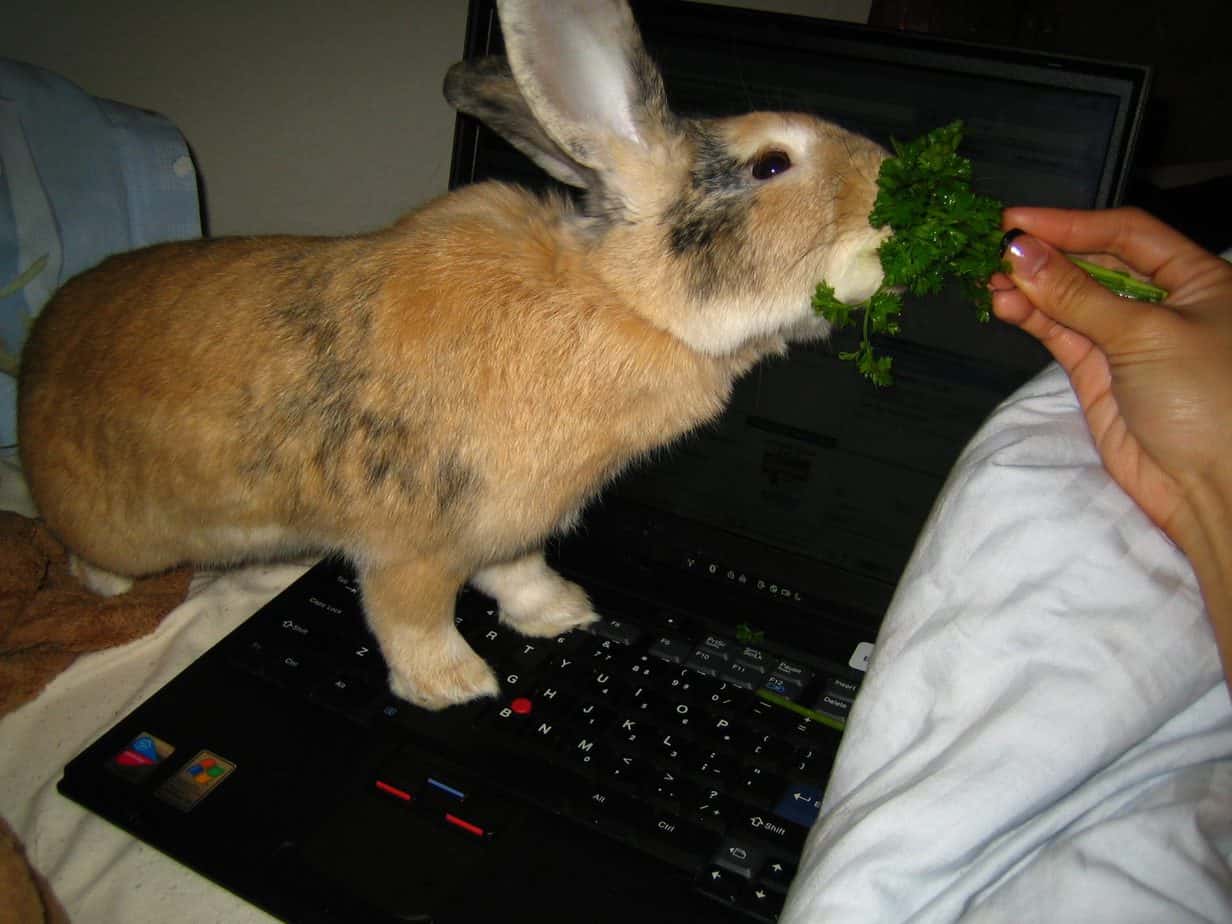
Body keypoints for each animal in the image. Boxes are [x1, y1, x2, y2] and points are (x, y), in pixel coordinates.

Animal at [16, 0, 887, 714]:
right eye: (771, 163)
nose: (886, 178)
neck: (621, 301)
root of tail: (31, 368)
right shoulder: (413, 547)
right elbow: (410, 618)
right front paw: (456, 687)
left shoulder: (512, 527)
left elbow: (517, 574)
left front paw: (564, 612)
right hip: (121, 527)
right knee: (86, 558)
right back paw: (107, 583)